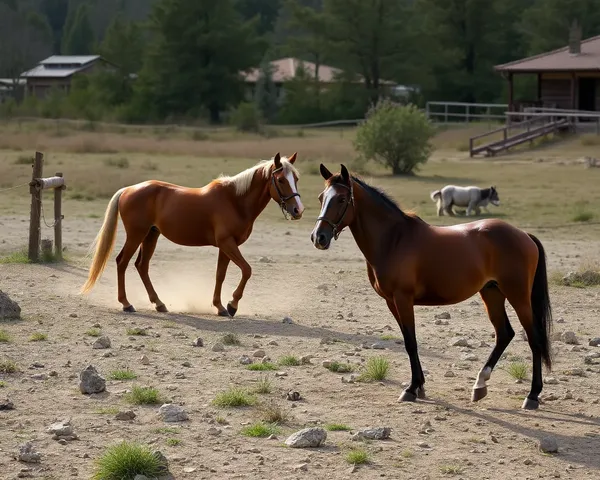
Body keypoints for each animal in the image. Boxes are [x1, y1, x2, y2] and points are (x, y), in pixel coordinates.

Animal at [80, 152, 304, 316]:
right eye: (281, 180)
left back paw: (159, 304)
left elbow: (220, 275)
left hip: (151, 236)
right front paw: (232, 305)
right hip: (136, 235)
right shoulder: (227, 243)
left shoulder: (226, 246)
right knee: (122, 262)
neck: (234, 201)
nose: (298, 210)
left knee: (141, 266)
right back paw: (126, 304)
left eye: (296, 178)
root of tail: (128, 189)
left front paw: (220, 307)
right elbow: (247, 270)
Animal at [310, 164, 552, 408]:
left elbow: (411, 343)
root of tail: (524, 234)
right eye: (321, 197)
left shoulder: (403, 299)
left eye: (341, 199)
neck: (394, 240)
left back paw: (532, 395)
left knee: (534, 339)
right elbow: (408, 340)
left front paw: (411, 388)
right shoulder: (391, 302)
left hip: (518, 296)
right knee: (504, 334)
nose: (318, 237)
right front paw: (420, 386)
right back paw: (480, 385)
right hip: (492, 293)